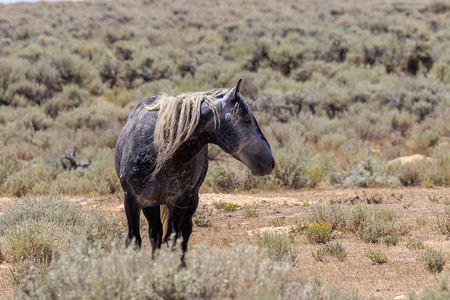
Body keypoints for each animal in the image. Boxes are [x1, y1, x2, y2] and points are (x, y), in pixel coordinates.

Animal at [113, 80, 274, 258]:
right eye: (246, 120)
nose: (270, 162)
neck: (158, 151)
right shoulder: (132, 200)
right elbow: (134, 240)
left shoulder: (179, 201)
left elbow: (171, 240)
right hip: (151, 204)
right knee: (155, 233)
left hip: (191, 200)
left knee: (183, 233)